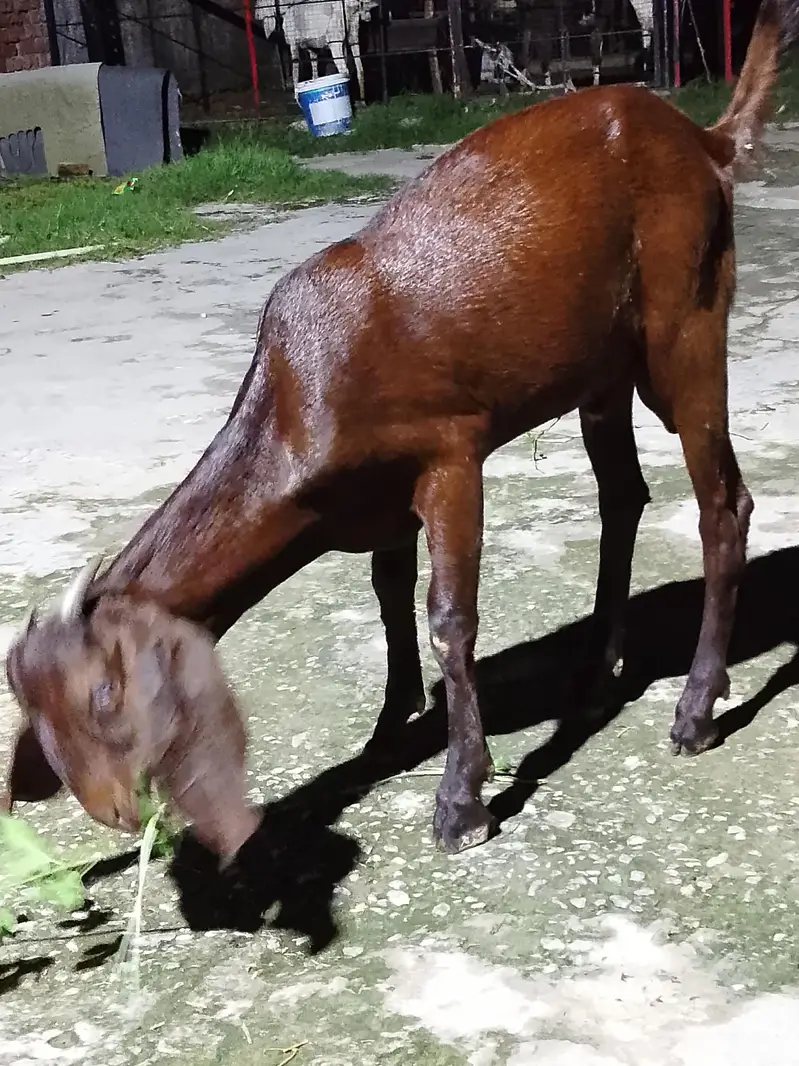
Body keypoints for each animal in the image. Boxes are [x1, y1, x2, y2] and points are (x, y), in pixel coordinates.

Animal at [5, 0, 798, 865]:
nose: (115, 811)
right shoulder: (376, 504)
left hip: (683, 317)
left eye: (104, 692)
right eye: (39, 725)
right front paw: (387, 731)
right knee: (622, 495)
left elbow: (448, 616)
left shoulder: (448, 453)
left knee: (722, 501)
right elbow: (387, 600)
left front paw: (461, 800)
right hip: (600, 370)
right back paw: (595, 678)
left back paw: (694, 709)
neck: (295, 405)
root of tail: (703, 139)